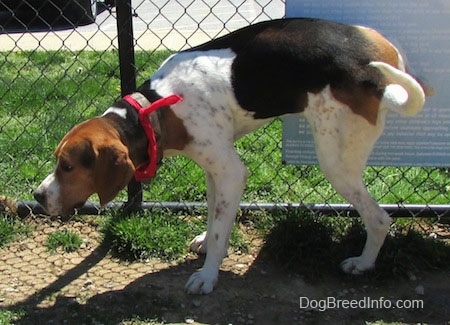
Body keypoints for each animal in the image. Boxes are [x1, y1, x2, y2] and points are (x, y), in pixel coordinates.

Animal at [34, 17, 426, 294]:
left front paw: (208, 275)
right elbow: (214, 217)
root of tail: (376, 65)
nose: (36, 197)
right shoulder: (213, 168)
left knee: (380, 219)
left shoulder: (232, 172)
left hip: (336, 162)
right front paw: (207, 243)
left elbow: (223, 230)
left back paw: (363, 263)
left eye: (67, 166)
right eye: (56, 160)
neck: (151, 110)